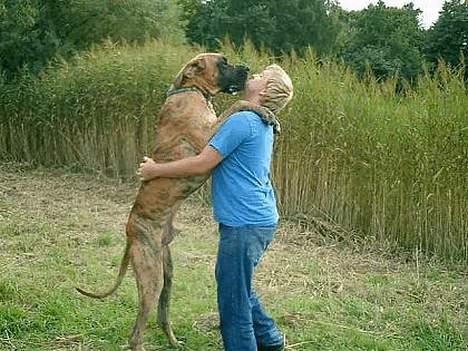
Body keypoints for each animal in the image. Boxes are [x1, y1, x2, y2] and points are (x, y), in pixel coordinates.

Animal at [75, 53, 276, 350]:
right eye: (223, 63)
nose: (248, 68)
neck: (191, 90)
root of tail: (130, 233)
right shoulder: (207, 138)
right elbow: (239, 104)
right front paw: (265, 113)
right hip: (151, 277)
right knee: (136, 332)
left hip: (167, 271)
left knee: (162, 315)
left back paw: (174, 341)